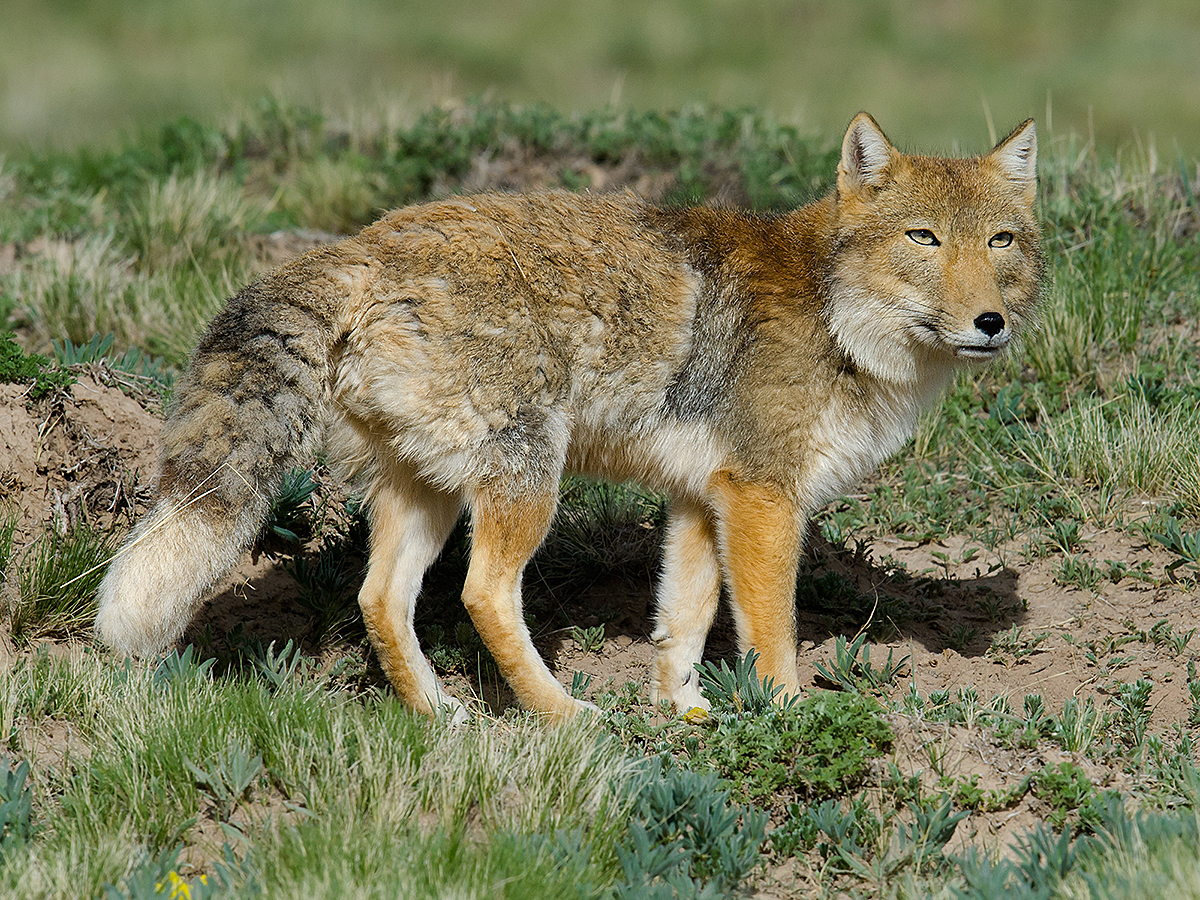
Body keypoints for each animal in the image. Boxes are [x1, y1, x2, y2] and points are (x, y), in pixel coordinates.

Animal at [96, 112, 1041, 724]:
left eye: (1000, 242)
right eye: (924, 239)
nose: (990, 323)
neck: (837, 316)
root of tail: (359, 247)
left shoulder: (701, 501)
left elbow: (681, 624)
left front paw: (687, 714)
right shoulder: (764, 500)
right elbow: (771, 633)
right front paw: (791, 718)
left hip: (431, 496)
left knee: (379, 600)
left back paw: (440, 715)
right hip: (528, 482)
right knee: (483, 594)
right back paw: (561, 715)